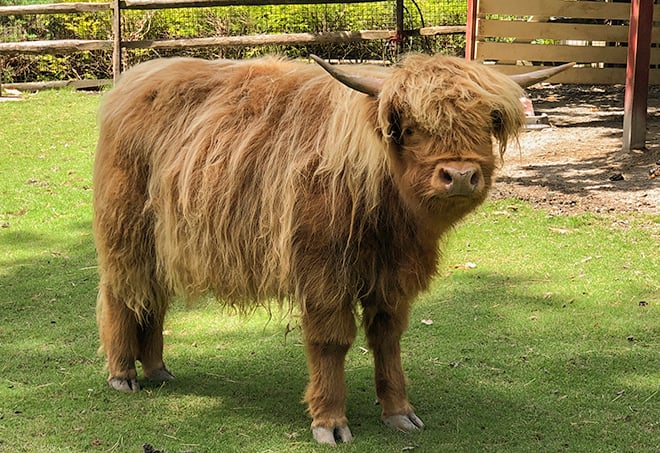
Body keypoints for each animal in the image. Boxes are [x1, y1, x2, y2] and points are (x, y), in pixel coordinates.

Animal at [95, 53, 528, 444]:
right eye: (407, 128)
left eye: (487, 122)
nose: (460, 175)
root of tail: (140, 75)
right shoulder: (322, 274)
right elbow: (330, 342)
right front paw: (330, 422)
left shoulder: (392, 276)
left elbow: (387, 337)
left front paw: (399, 412)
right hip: (127, 234)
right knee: (122, 294)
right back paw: (123, 374)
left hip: (162, 244)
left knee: (151, 297)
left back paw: (157, 368)